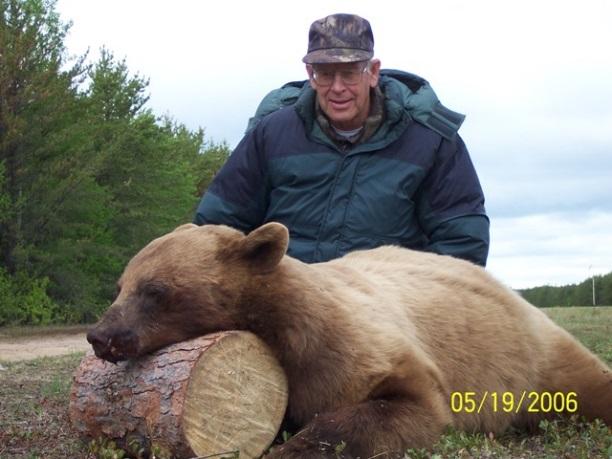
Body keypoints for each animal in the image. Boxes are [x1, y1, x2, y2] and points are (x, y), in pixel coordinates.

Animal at [87, 222, 612, 458]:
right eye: (120, 285)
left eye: (155, 291)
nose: (100, 336)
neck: (283, 328)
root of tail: (509, 290)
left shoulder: (353, 348)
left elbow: (405, 406)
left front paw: (290, 449)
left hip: (534, 357)